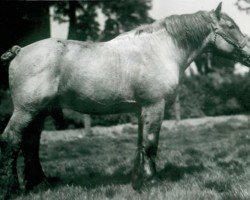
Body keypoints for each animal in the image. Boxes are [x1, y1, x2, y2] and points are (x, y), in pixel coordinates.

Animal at [0, 2, 250, 198]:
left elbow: (140, 144)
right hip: (26, 110)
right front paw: (151, 182)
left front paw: (137, 181)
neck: (159, 50)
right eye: (231, 27)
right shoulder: (154, 107)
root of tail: (20, 51)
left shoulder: (142, 110)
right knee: (11, 140)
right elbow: (150, 144)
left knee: (30, 143)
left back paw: (39, 184)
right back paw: (13, 189)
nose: (248, 53)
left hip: (39, 111)